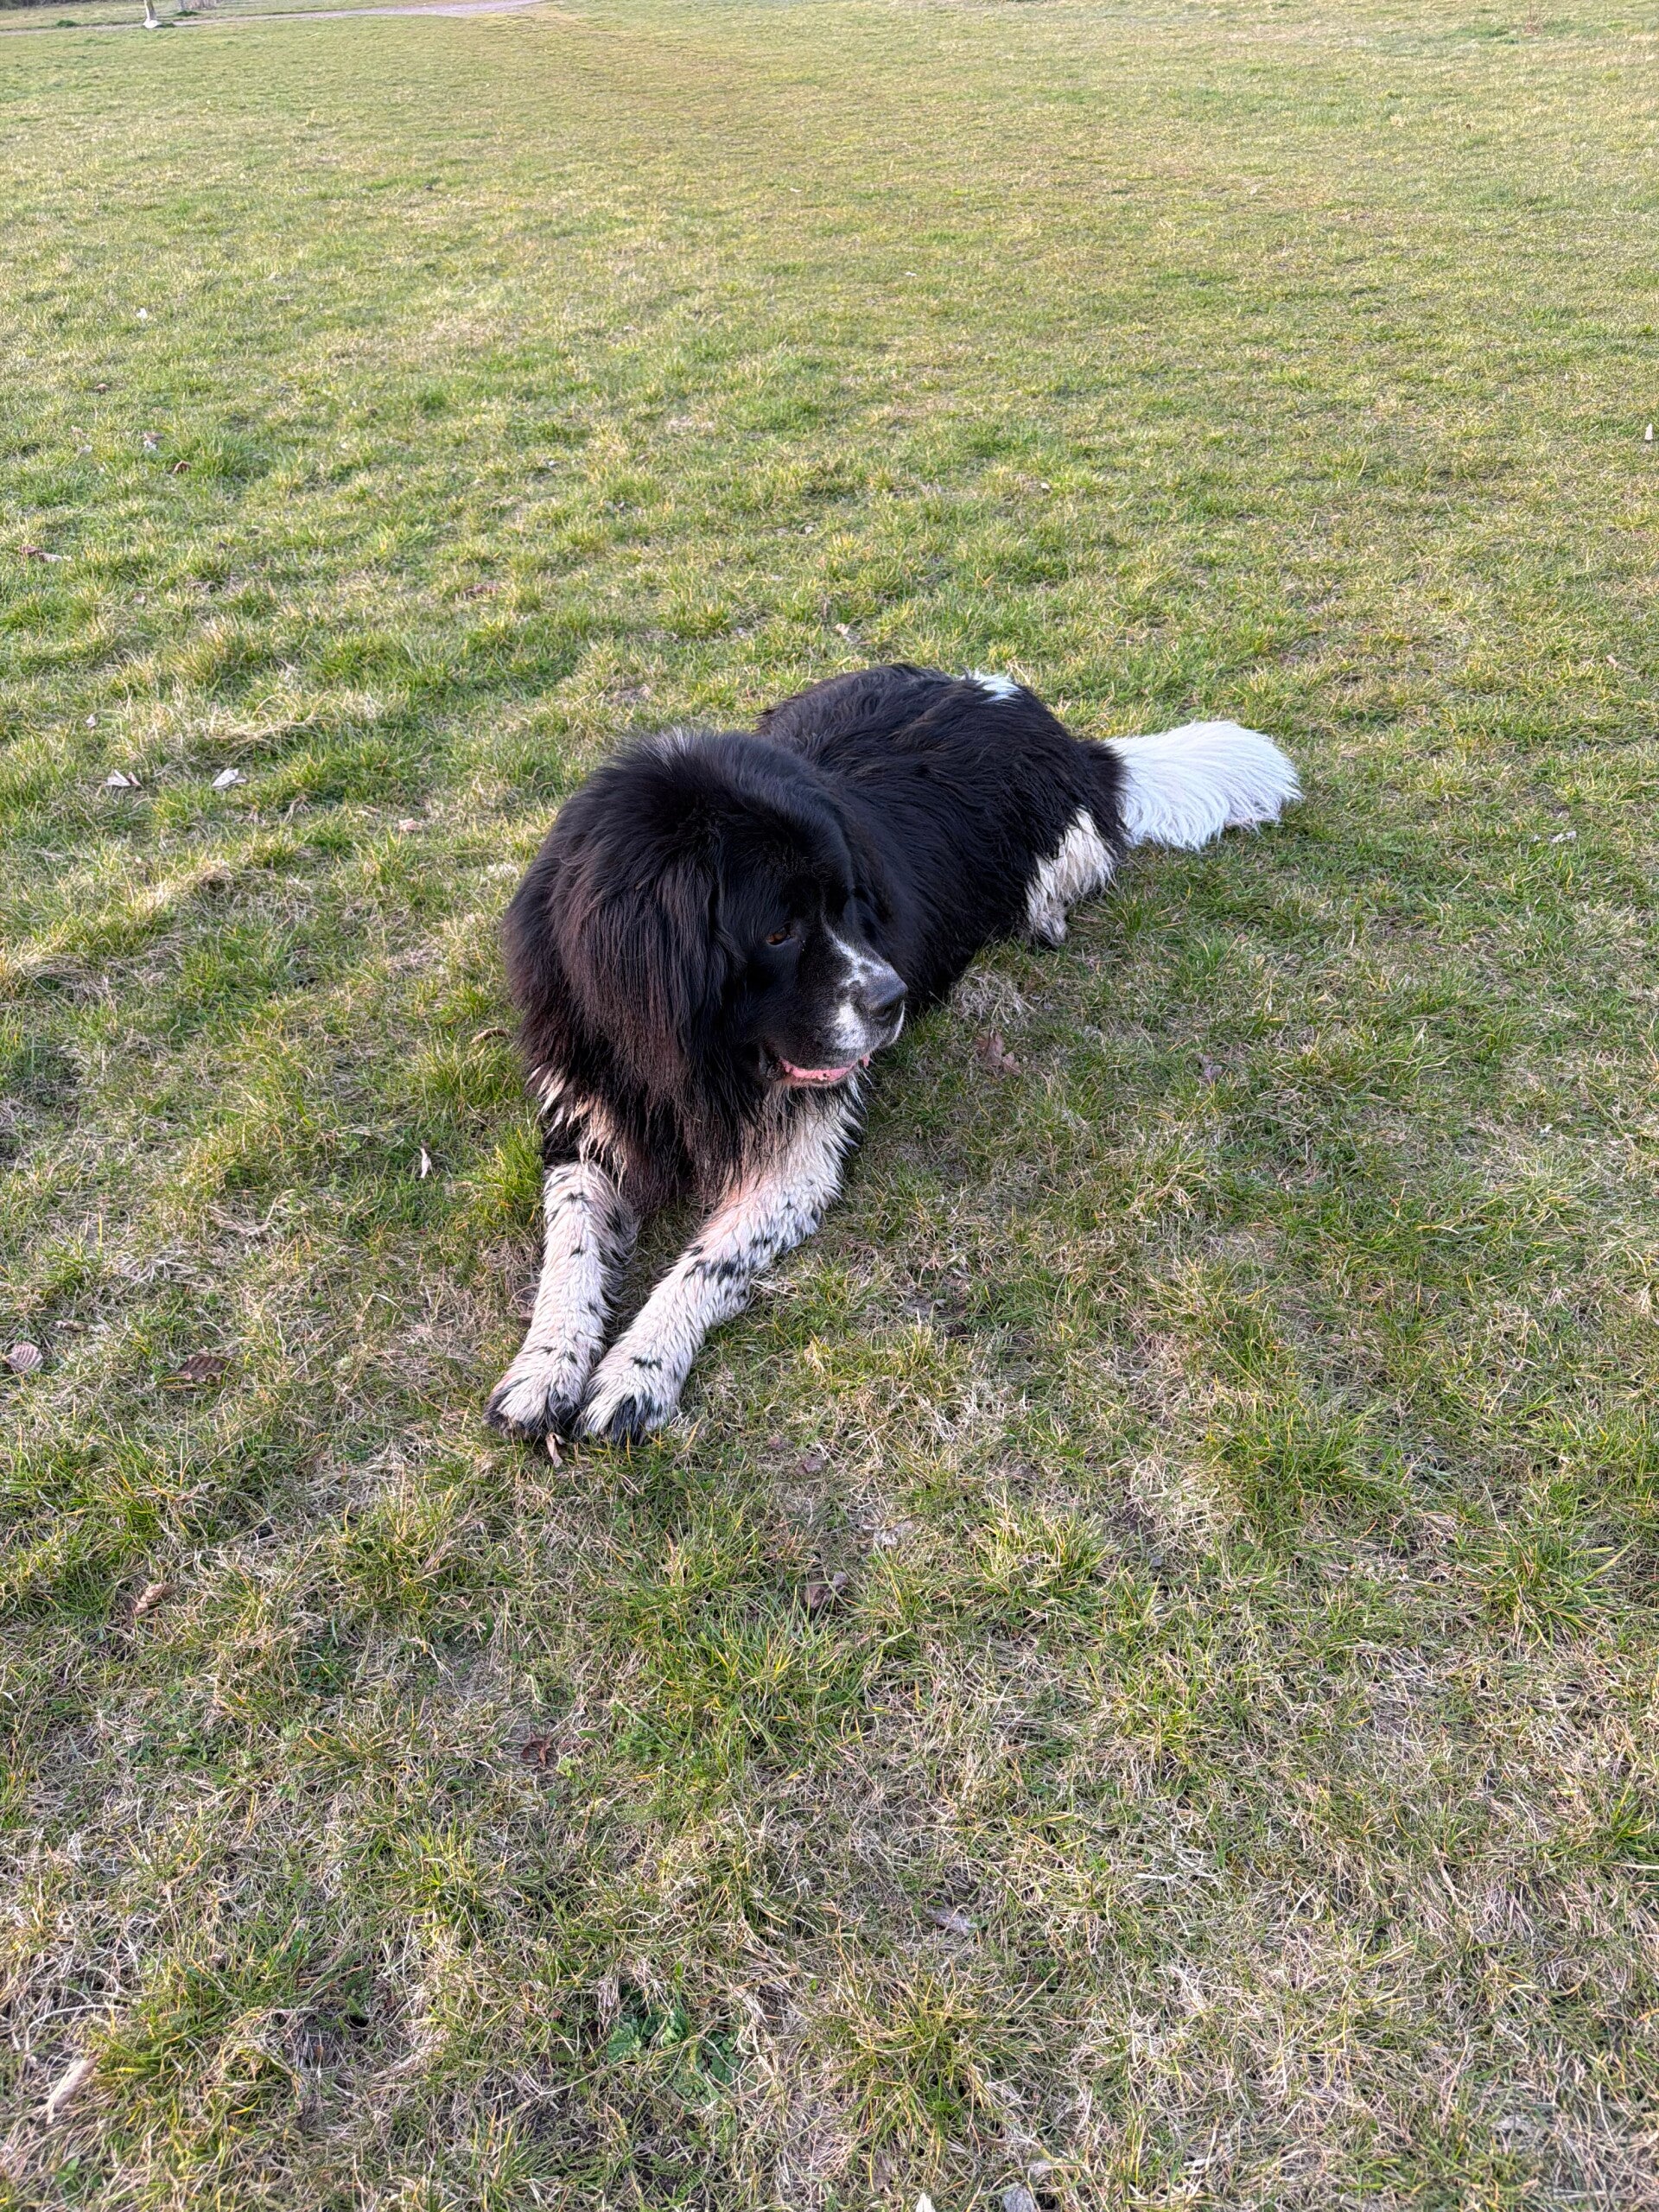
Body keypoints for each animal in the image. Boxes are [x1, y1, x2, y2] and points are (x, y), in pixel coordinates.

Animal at [486, 665, 1298, 1445]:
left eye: (847, 904)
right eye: (778, 933)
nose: (892, 998)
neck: (691, 1060)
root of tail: (1047, 724)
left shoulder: (796, 1159)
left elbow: (705, 1266)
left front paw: (638, 1372)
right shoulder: (585, 1110)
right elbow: (569, 1250)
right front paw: (544, 1367)